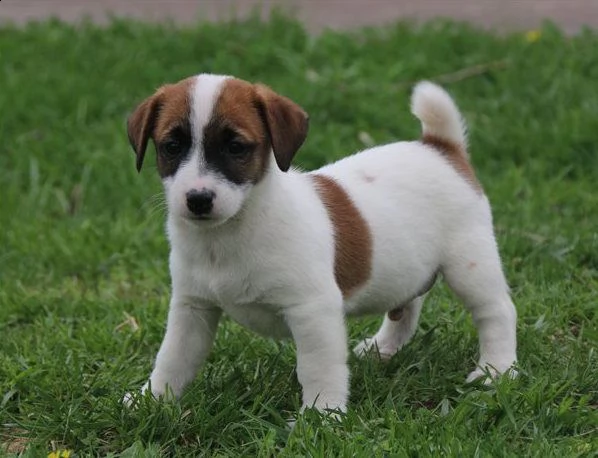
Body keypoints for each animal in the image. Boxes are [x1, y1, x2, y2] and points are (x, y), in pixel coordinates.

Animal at [124, 73, 516, 414]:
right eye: (171, 146)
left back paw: (496, 371)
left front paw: (321, 415)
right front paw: (152, 399)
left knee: (497, 311)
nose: (198, 199)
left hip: (469, 264)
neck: (229, 234)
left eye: (236, 147)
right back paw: (383, 348)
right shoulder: (193, 308)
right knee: (408, 306)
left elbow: (317, 368)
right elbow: (172, 359)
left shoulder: (312, 310)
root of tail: (440, 147)